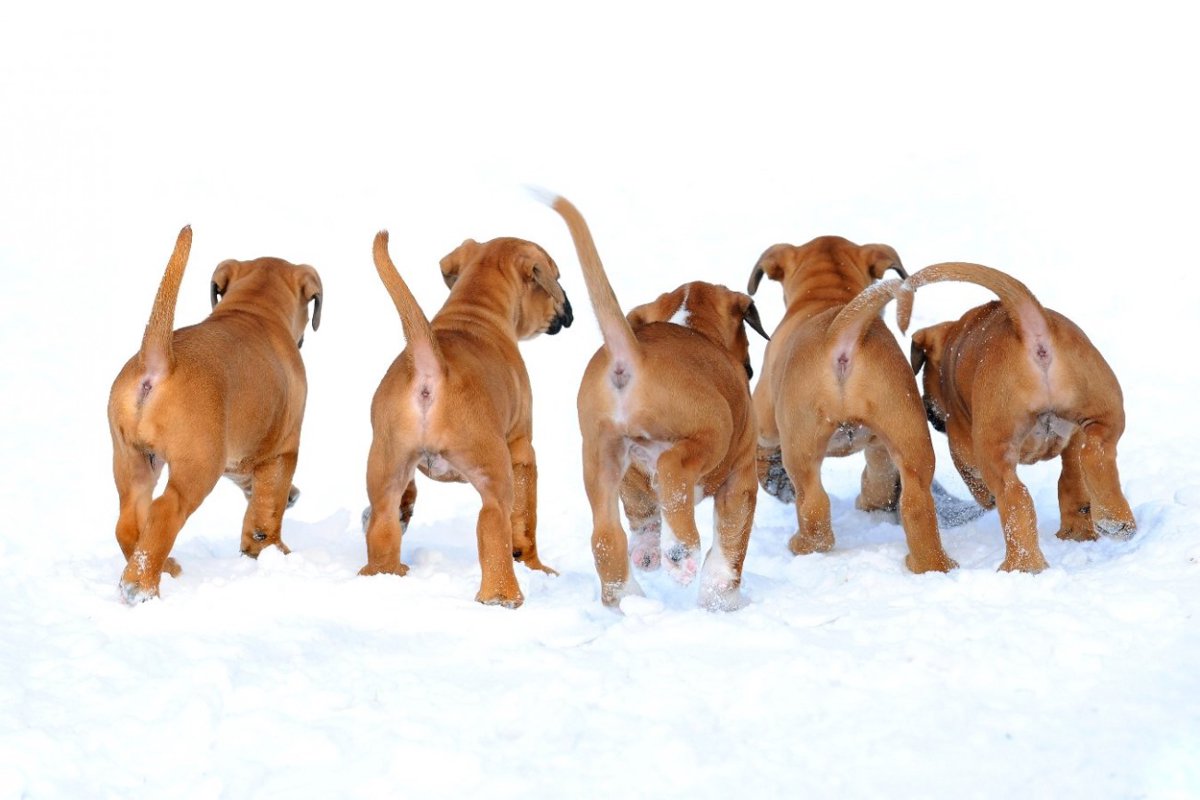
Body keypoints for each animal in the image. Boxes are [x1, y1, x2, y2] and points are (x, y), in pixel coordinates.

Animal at [107, 225, 321, 599]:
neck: (254, 309)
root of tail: (159, 362)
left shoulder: (237, 458)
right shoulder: (281, 451)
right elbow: (268, 507)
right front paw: (273, 551)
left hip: (133, 460)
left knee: (129, 522)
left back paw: (165, 566)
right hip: (197, 469)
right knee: (165, 511)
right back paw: (142, 585)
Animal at [357, 231, 573, 606]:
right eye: (556, 277)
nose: (569, 310)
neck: (475, 309)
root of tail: (432, 367)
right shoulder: (522, 450)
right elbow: (526, 518)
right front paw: (534, 564)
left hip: (387, 466)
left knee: (383, 523)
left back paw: (387, 573)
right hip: (494, 474)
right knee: (494, 522)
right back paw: (503, 596)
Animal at [544, 194, 768, 606]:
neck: (691, 326)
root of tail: (633, 354)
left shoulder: (631, 480)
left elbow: (642, 511)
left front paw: (648, 553)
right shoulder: (741, 475)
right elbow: (731, 543)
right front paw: (721, 598)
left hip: (601, 456)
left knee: (606, 537)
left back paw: (628, 595)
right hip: (709, 435)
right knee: (672, 470)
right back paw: (680, 554)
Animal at [748, 235, 955, 573]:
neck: (830, 296)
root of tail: (843, 333)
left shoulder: (765, 417)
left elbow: (761, 446)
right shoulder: (880, 443)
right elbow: (880, 474)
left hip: (801, 450)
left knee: (815, 507)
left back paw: (802, 544)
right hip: (908, 434)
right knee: (916, 503)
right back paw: (930, 562)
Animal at [907, 266, 1132, 573]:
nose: (930, 415)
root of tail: (1032, 329)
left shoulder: (962, 442)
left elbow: (970, 474)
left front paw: (985, 498)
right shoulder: (1074, 436)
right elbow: (1073, 476)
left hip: (994, 446)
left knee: (1014, 496)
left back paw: (1022, 565)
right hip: (1104, 411)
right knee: (1096, 455)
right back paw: (1112, 520)